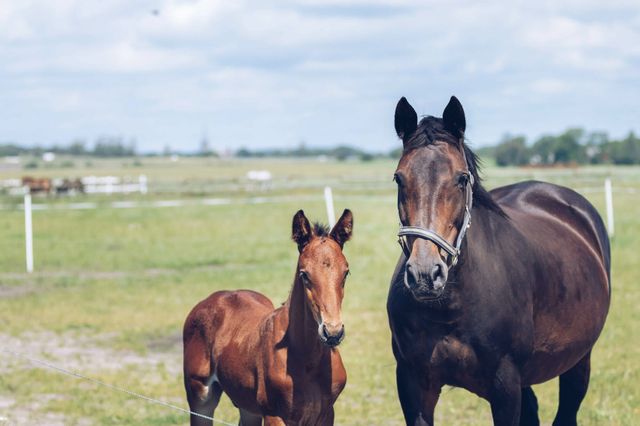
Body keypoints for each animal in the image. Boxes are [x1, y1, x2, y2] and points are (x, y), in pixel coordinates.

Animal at [183, 209, 353, 426]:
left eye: (346, 273)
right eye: (304, 274)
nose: (332, 332)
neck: (308, 360)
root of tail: (210, 299)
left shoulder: (326, 414)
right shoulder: (274, 415)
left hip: (248, 408)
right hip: (200, 399)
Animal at [387, 96, 610, 426]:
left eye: (461, 178)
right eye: (399, 178)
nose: (425, 275)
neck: (451, 307)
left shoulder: (505, 386)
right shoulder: (413, 383)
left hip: (579, 359)